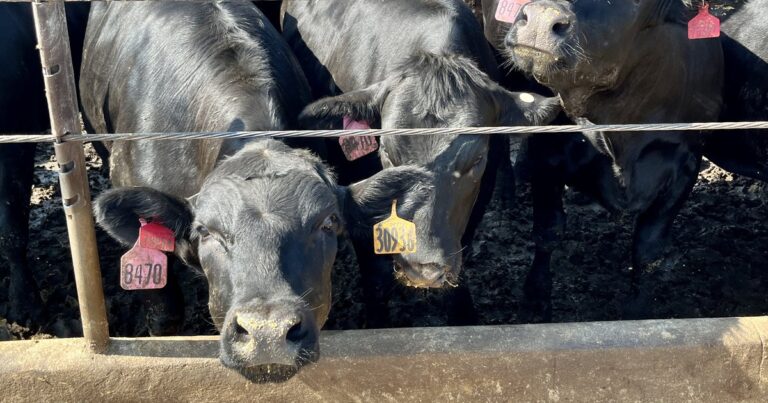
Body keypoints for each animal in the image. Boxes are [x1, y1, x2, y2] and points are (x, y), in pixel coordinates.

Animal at [482, 0, 724, 320]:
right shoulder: (549, 154)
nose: (542, 17)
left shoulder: (686, 166)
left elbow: (648, 248)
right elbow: (547, 230)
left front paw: (636, 311)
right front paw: (535, 302)